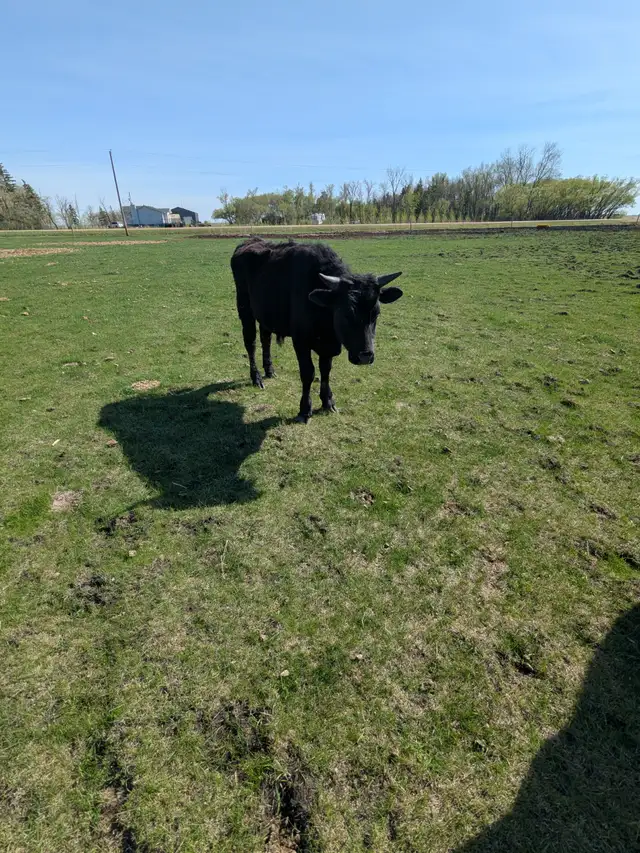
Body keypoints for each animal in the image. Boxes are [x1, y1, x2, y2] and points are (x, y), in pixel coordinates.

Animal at [230, 237, 403, 423]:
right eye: (345, 313)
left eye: (376, 313)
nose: (365, 356)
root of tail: (249, 241)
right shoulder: (300, 341)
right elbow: (308, 373)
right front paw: (305, 409)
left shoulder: (328, 346)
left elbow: (325, 370)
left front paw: (328, 401)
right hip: (245, 309)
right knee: (251, 343)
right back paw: (256, 378)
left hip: (265, 315)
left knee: (265, 339)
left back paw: (269, 370)